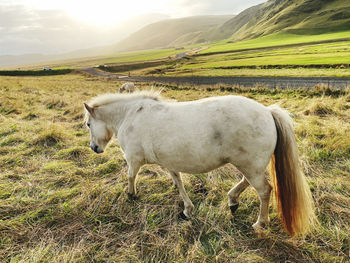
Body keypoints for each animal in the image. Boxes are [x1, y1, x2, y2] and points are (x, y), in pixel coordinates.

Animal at [83, 91, 316, 237]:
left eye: (88, 124)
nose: (94, 148)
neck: (129, 116)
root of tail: (267, 111)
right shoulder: (169, 162)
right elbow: (178, 182)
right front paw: (187, 210)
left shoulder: (133, 159)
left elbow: (131, 176)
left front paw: (131, 194)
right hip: (250, 166)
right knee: (247, 182)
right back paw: (232, 201)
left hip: (251, 167)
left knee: (265, 190)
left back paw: (260, 223)